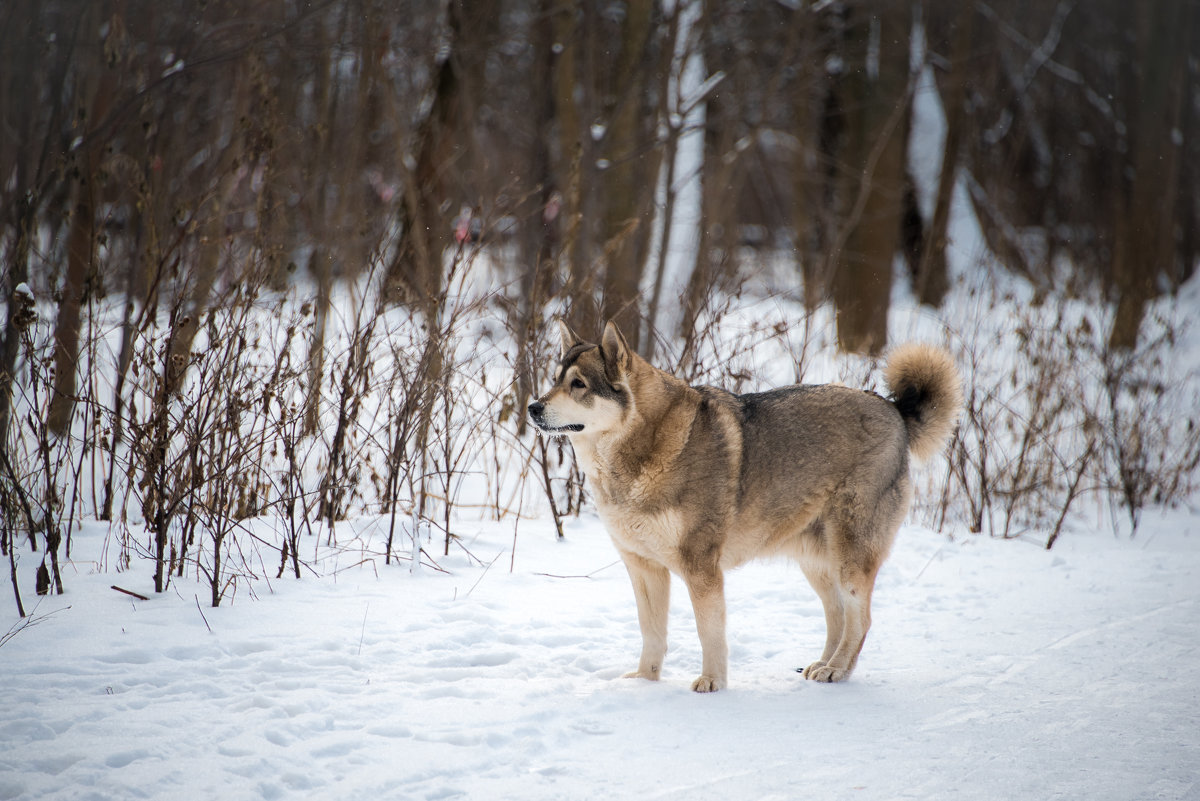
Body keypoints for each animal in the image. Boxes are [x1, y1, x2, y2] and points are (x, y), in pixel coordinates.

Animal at [530, 318, 960, 690]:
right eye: (555, 381)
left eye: (579, 384)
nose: (533, 407)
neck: (639, 450)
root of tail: (893, 409)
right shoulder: (643, 568)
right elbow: (651, 633)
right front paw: (644, 682)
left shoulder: (701, 568)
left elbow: (709, 633)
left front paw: (712, 682)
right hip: (817, 563)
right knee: (836, 615)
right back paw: (821, 664)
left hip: (850, 558)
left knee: (862, 619)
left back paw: (837, 669)